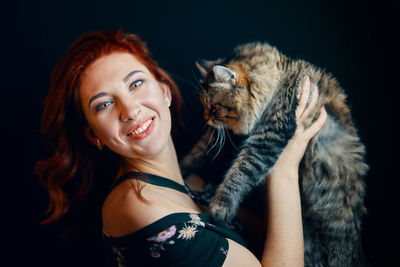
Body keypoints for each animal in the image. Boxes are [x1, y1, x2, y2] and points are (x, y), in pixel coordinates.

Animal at [181, 43, 368, 266]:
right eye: (203, 106)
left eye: (214, 108)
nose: (205, 118)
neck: (280, 78)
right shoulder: (221, 136)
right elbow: (197, 153)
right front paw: (181, 168)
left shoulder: (268, 138)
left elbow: (238, 175)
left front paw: (220, 208)